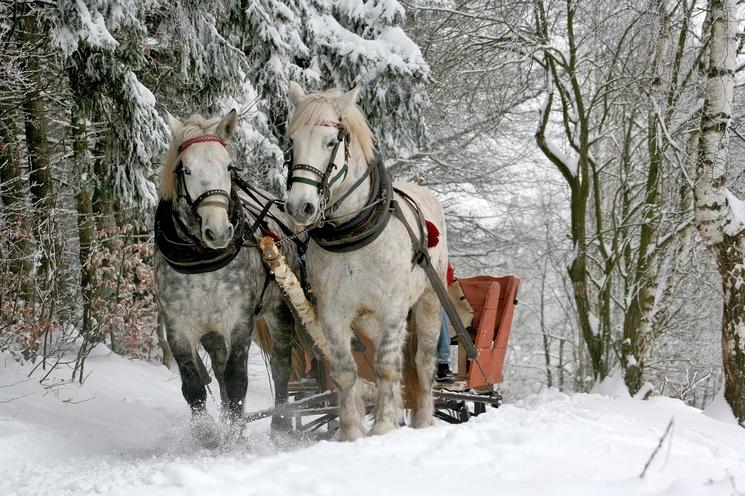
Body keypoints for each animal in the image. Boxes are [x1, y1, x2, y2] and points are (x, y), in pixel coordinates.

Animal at [153, 110, 297, 445]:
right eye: (186, 169)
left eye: (229, 167)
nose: (218, 231)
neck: (202, 261)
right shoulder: (178, 328)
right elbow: (194, 386)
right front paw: (209, 436)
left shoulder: (240, 321)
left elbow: (237, 380)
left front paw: (234, 436)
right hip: (212, 331)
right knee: (218, 369)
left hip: (279, 310)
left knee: (281, 364)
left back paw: (281, 425)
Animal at [283, 82, 448, 440]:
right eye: (292, 141)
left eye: (331, 142)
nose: (300, 206)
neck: (353, 232)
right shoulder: (333, 313)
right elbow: (346, 371)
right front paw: (352, 433)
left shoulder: (394, 308)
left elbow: (386, 366)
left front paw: (384, 425)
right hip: (368, 319)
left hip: (428, 301)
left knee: (422, 362)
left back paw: (422, 420)